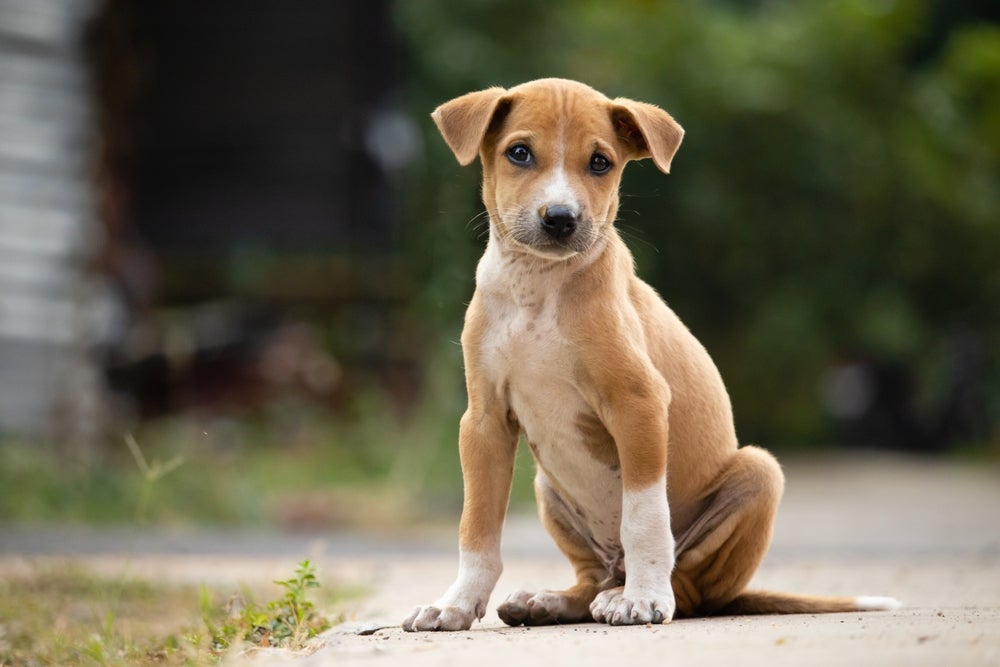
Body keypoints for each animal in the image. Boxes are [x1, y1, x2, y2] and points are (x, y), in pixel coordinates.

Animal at [402, 78, 904, 632]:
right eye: (519, 153)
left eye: (600, 162)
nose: (561, 218)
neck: (539, 285)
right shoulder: (485, 421)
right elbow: (477, 528)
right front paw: (455, 604)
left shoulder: (637, 404)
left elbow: (643, 517)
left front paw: (643, 599)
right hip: (548, 489)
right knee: (592, 578)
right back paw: (552, 600)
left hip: (759, 474)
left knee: (687, 587)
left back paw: (630, 594)